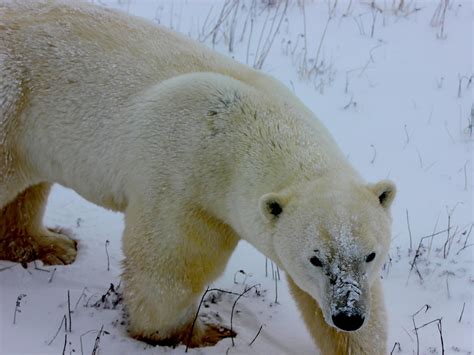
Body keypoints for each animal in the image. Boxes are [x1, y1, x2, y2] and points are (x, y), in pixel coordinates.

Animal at [0, 1, 396, 354]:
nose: (348, 315)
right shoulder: (183, 176)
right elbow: (171, 265)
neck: (246, 127)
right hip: (12, 104)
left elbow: (324, 302)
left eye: (371, 255)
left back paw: (49, 245)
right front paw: (196, 333)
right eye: (315, 258)